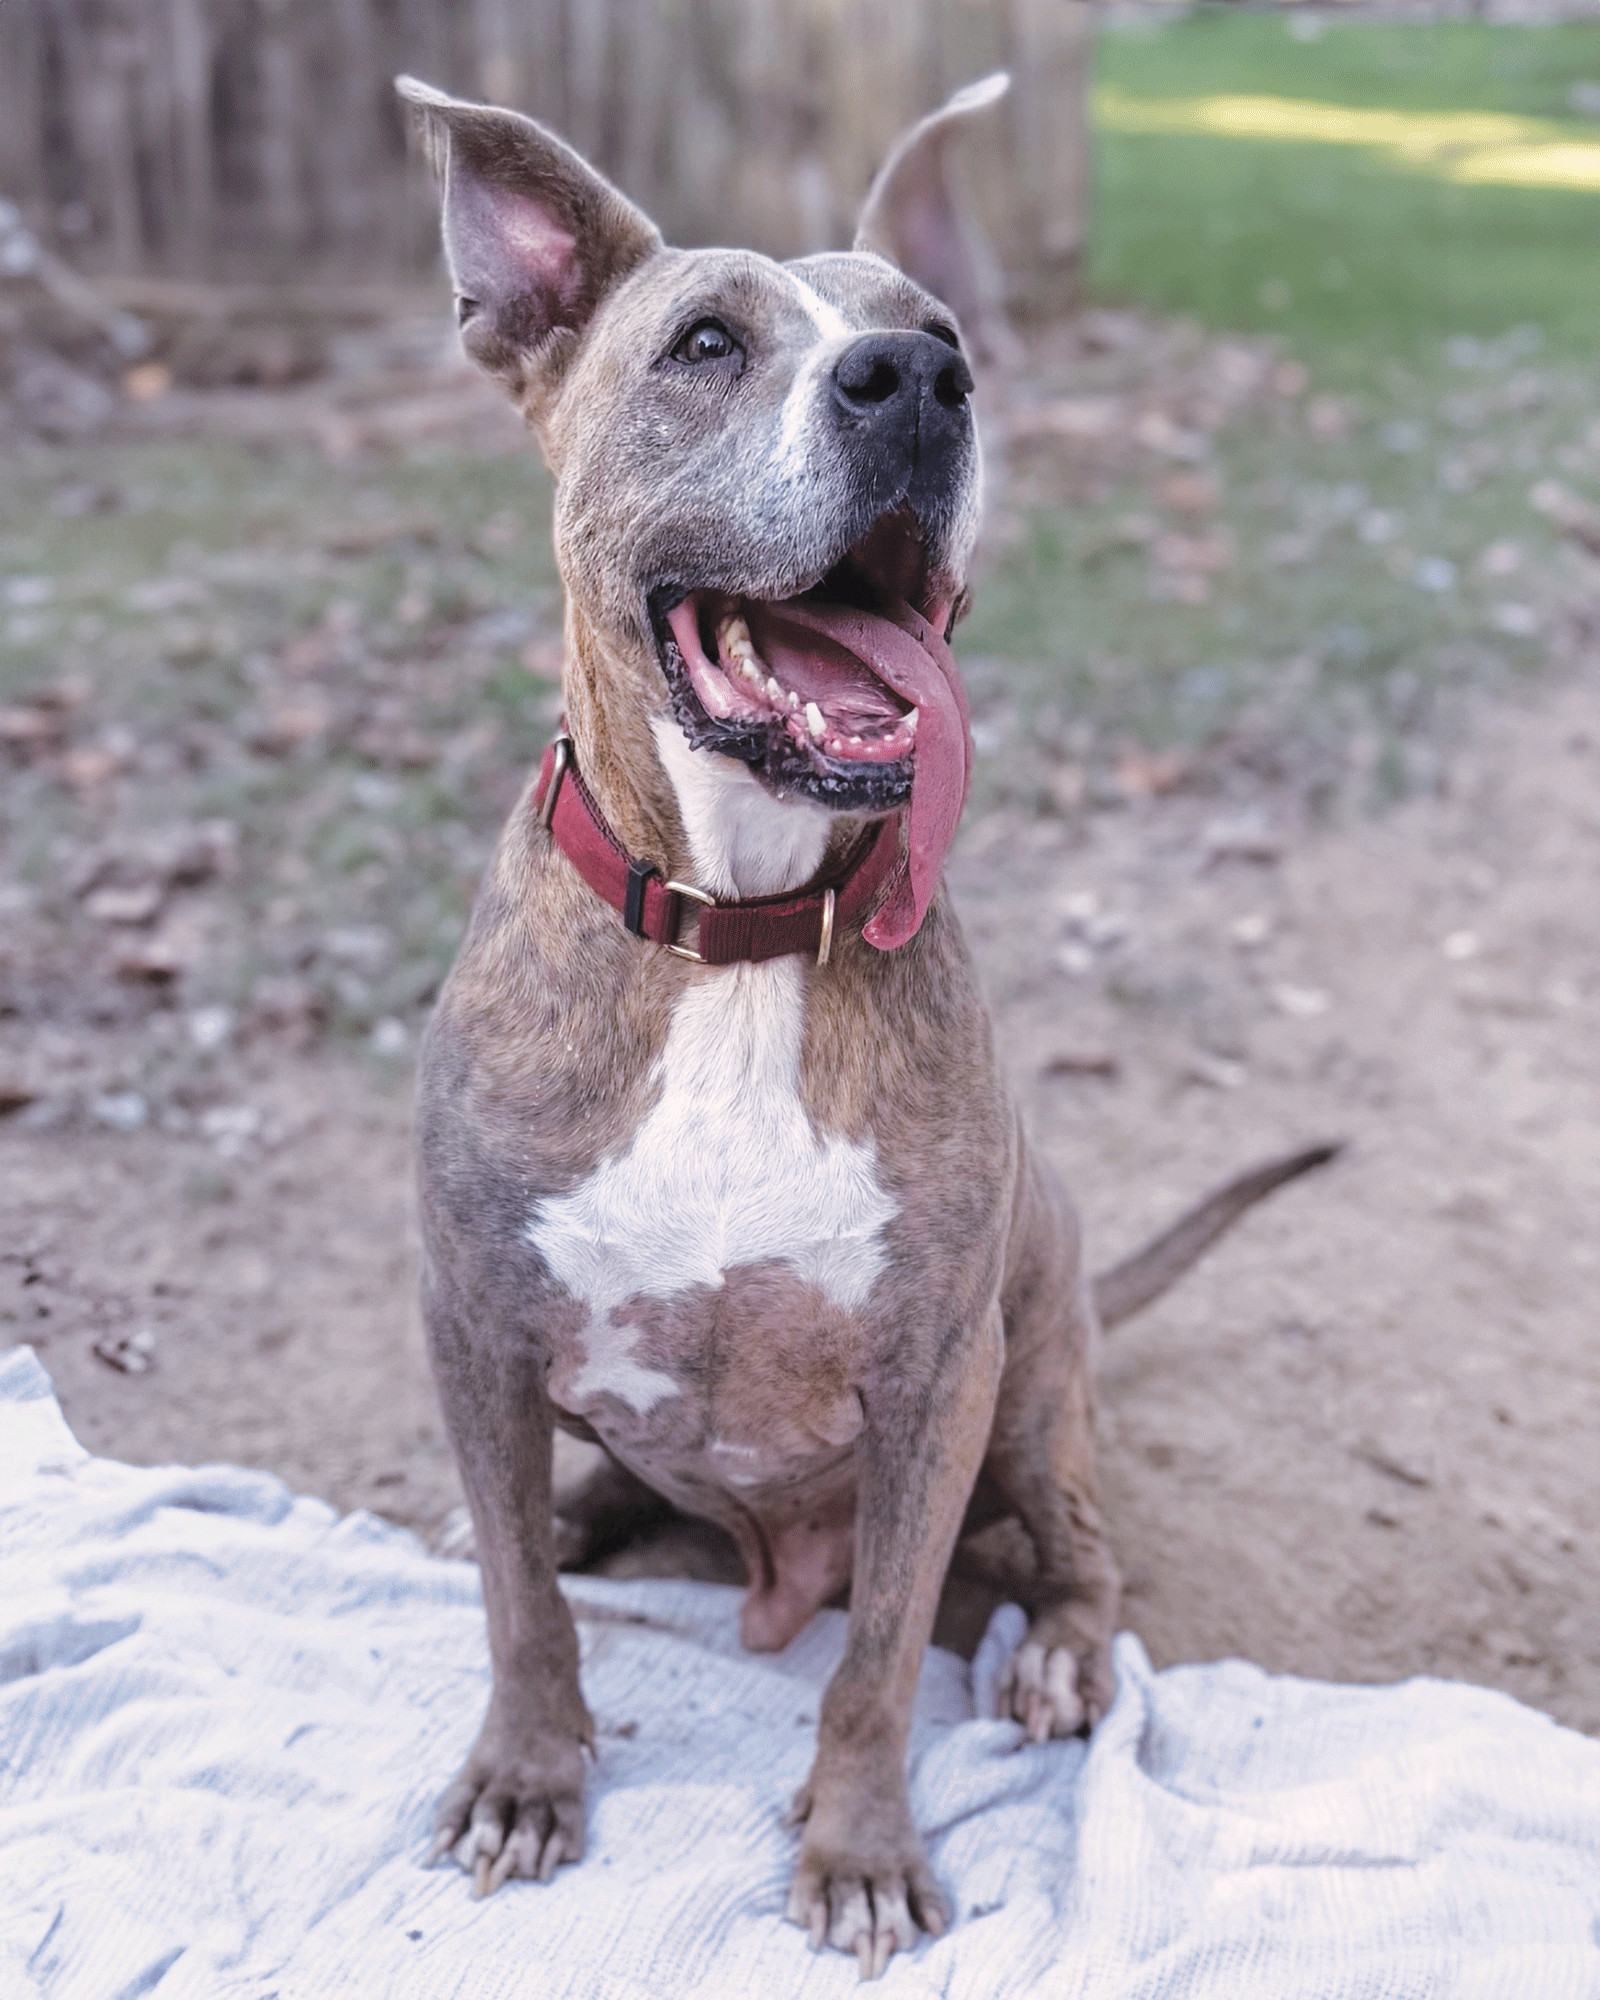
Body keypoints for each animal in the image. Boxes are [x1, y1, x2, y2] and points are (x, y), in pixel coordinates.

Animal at [400, 74, 1336, 1984]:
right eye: (703, 343)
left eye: (946, 339)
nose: (913, 384)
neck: (739, 938)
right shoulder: (470, 1323)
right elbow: (520, 1598)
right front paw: (529, 1771)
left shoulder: (933, 1377)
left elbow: (888, 1658)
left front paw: (858, 1849)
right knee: (572, 1511)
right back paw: (593, 1512)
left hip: (1039, 1369)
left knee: (1083, 1559)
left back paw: (1057, 1654)